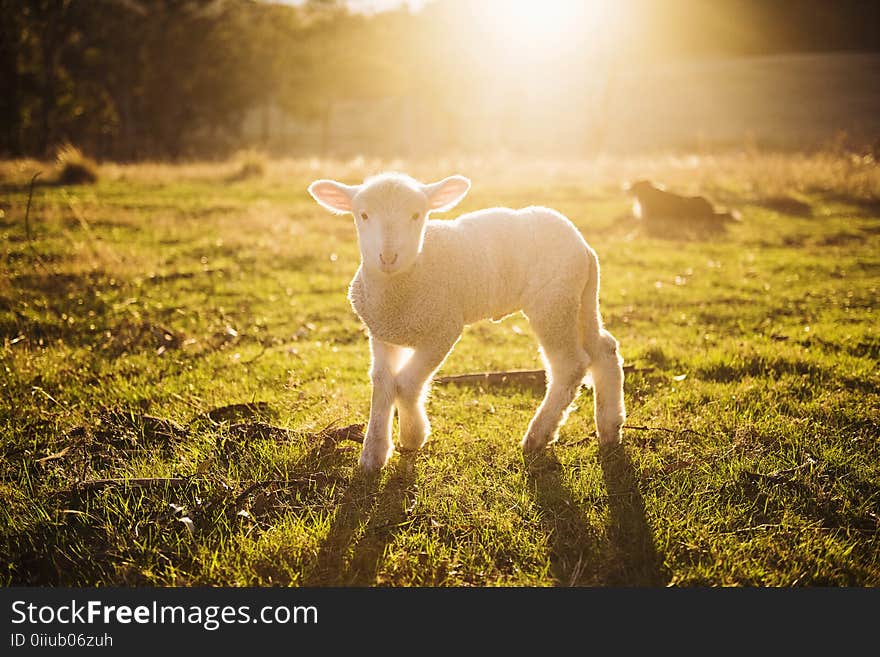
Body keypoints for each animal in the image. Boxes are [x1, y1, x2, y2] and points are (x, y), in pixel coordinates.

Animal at [310, 172, 624, 468]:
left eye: (416, 214)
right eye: (363, 215)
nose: (388, 257)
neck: (404, 283)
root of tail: (583, 245)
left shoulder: (443, 329)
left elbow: (406, 384)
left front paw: (412, 435)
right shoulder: (382, 333)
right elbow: (382, 383)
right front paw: (373, 454)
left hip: (553, 303)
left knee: (569, 366)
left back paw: (538, 436)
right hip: (581, 298)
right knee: (604, 349)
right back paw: (610, 428)